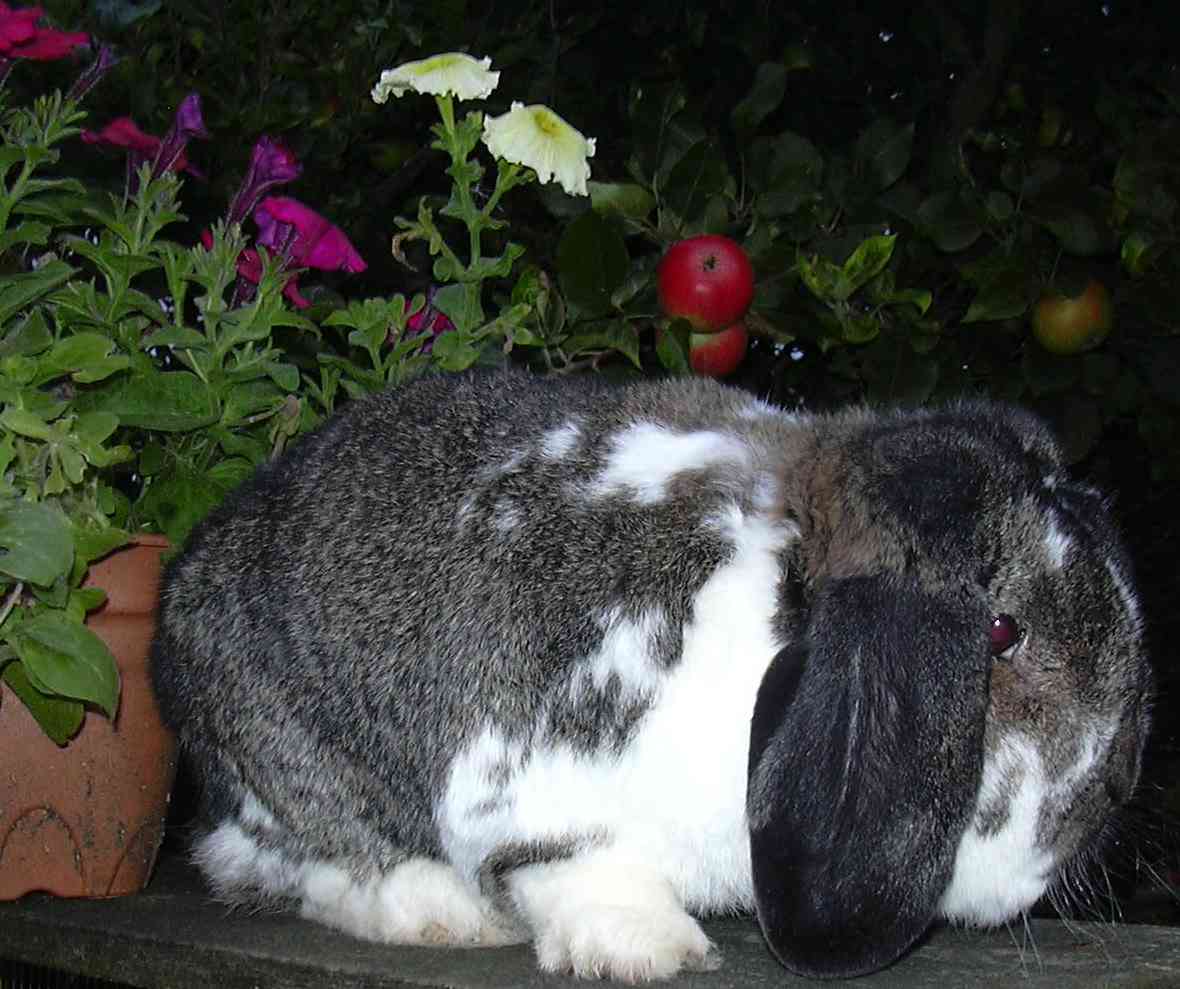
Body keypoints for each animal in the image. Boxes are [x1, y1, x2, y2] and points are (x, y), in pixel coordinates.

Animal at [150, 367, 1151, 982]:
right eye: (1001, 630)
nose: (1113, 791)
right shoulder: (532, 777)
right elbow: (574, 862)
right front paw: (649, 946)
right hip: (282, 760)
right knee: (286, 861)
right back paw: (443, 913)